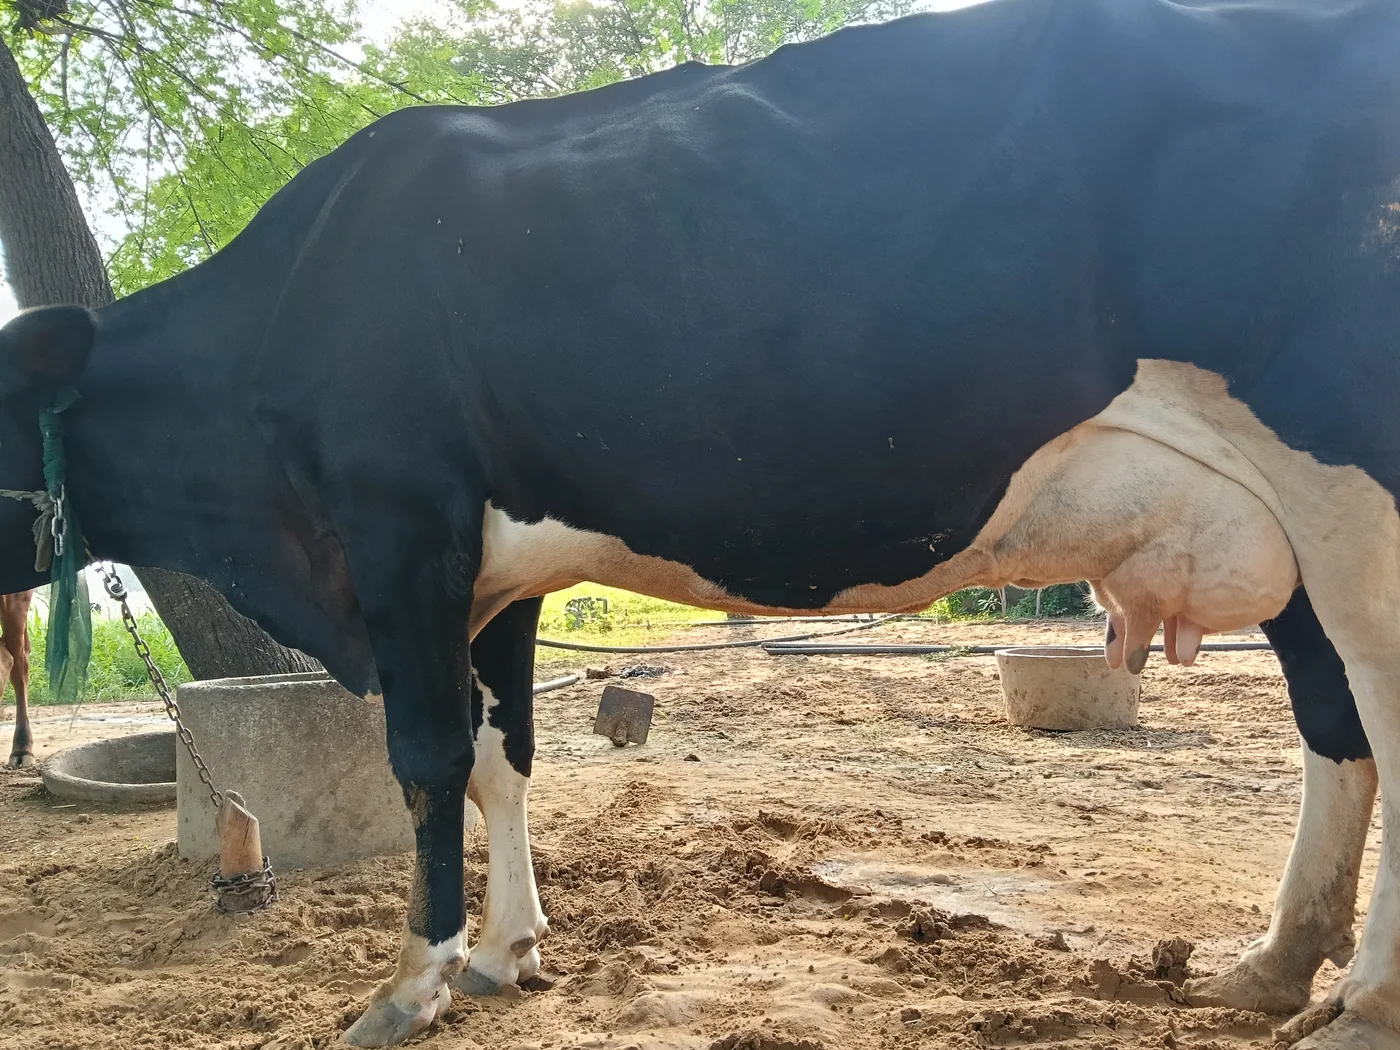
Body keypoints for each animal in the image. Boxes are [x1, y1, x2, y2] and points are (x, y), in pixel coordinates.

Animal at [0, 0, 1396, 1045]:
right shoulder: (496, 575)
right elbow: (506, 756)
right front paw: (509, 952)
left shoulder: (400, 530)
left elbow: (431, 761)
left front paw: (412, 982)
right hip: (1282, 535)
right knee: (1334, 722)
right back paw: (1273, 967)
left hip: (1350, 481)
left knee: (1379, 705)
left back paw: (1362, 1003)